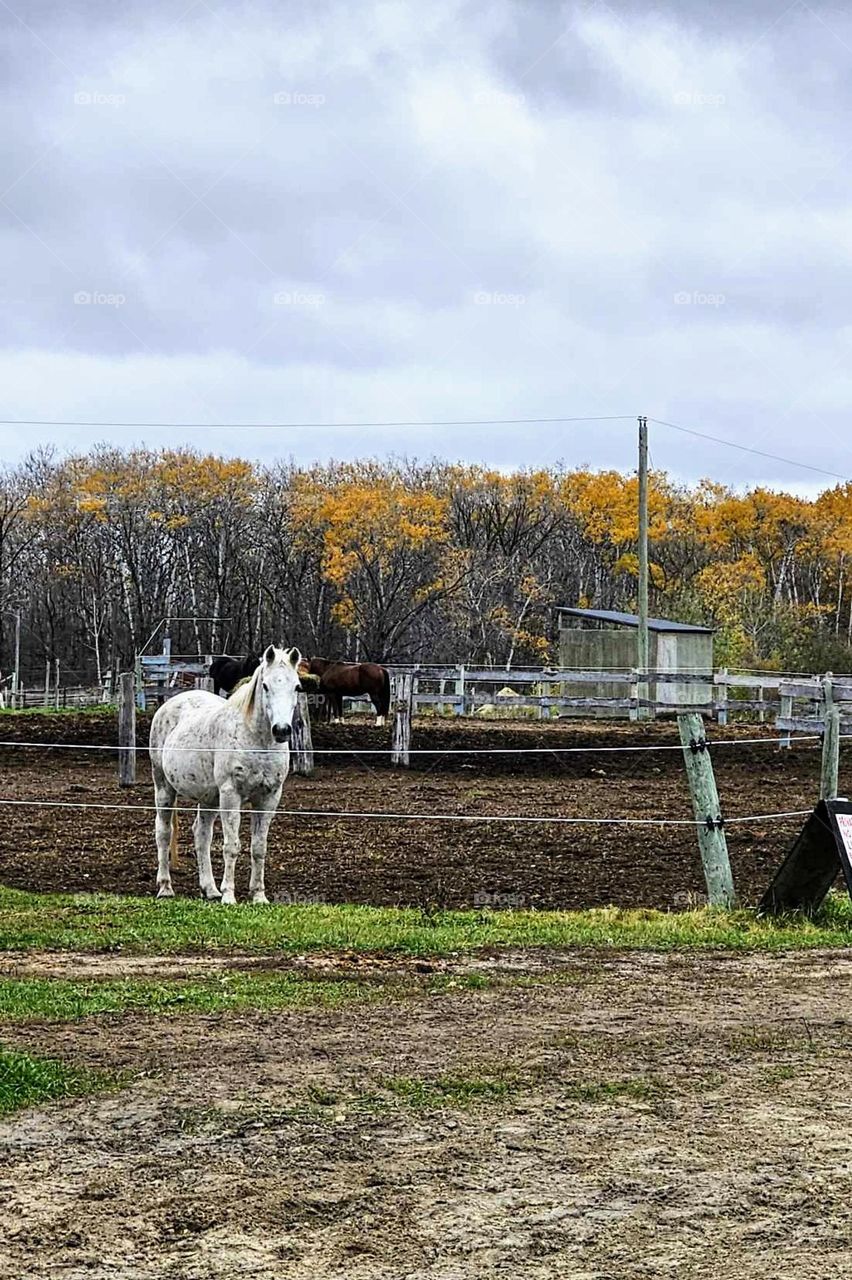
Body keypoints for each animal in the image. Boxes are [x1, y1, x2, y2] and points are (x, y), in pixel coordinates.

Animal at [149, 645, 302, 904]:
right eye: (265, 686)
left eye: (297, 686)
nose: (281, 730)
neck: (257, 741)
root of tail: (168, 705)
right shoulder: (231, 795)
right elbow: (232, 846)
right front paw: (229, 895)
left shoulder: (269, 798)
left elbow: (258, 848)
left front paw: (258, 895)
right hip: (164, 788)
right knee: (164, 833)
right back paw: (165, 887)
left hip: (209, 799)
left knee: (201, 835)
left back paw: (210, 889)